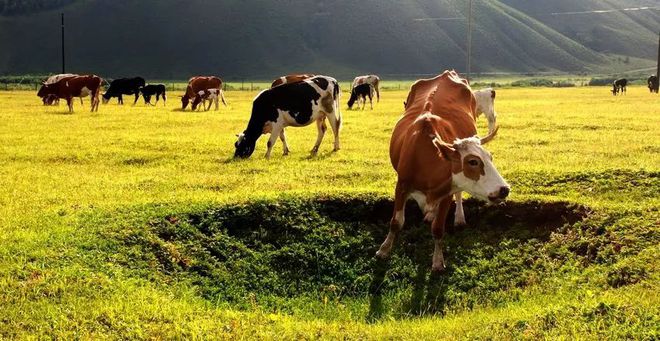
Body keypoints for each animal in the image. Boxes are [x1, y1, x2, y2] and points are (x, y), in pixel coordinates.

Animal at [376, 69, 510, 270]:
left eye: (490, 158)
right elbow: (396, 222)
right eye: (472, 162)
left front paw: (438, 261)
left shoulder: (448, 189)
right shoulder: (401, 184)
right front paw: (384, 250)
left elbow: (438, 228)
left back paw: (458, 218)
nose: (504, 189)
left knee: (459, 195)